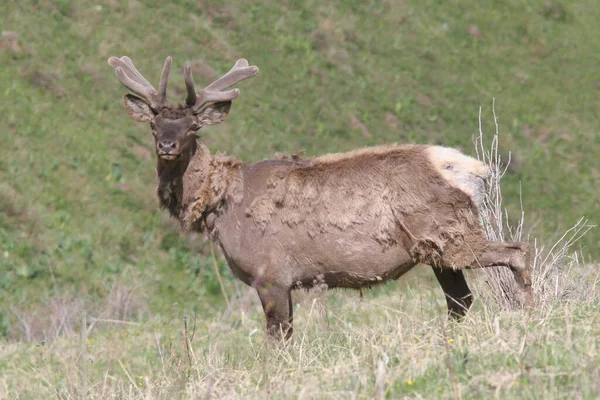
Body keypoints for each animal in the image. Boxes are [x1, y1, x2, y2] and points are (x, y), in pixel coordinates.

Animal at [109, 54, 536, 340]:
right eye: (153, 124)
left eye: (193, 127)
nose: (167, 145)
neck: (222, 206)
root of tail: (470, 169)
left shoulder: (271, 274)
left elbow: (279, 338)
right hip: (437, 248)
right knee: (460, 299)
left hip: (452, 234)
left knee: (517, 252)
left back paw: (532, 312)